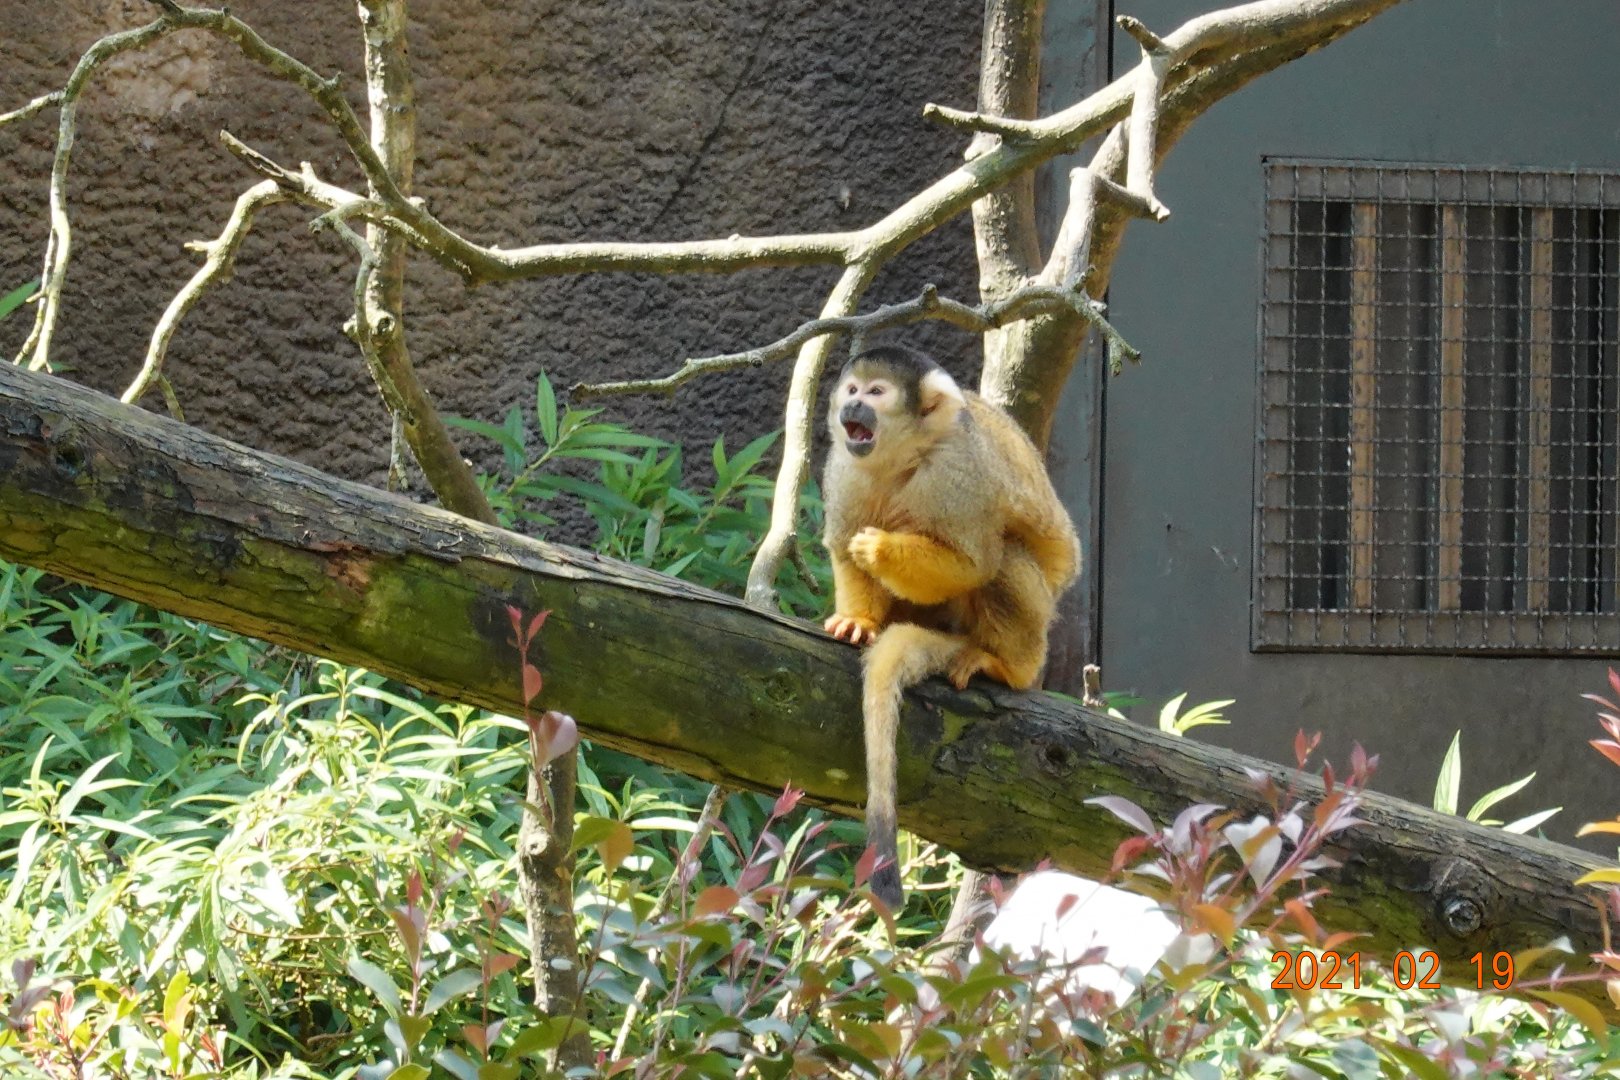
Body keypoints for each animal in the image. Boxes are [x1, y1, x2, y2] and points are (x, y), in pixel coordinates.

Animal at [820, 344, 1080, 908]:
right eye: (852, 389)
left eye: (877, 393)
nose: (853, 406)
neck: (901, 458)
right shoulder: (843, 467)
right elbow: (842, 544)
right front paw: (858, 619)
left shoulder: (958, 474)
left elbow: (972, 563)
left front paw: (881, 549)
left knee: (1003, 556)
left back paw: (1010, 665)